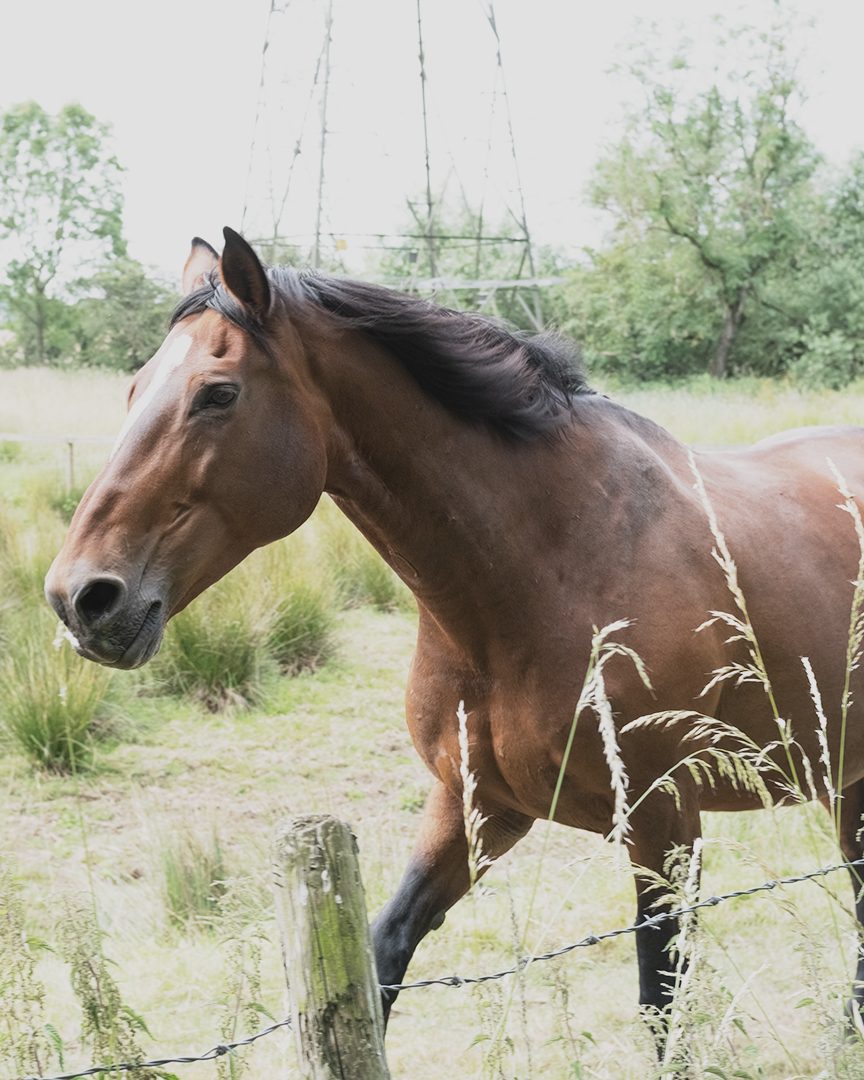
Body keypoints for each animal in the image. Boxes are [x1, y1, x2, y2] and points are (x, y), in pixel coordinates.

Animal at [45, 227, 864, 1035]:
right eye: (134, 389)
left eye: (218, 393)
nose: (81, 597)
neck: (557, 565)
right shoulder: (473, 806)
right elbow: (382, 954)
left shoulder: (664, 826)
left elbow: (661, 1009)